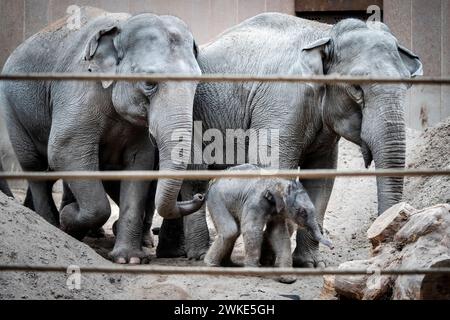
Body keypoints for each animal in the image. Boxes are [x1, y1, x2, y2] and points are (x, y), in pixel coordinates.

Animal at [0, 6, 204, 264]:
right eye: (149, 83)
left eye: (197, 84)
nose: (199, 197)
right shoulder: (78, 90)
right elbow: (65, 150)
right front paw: (68, 219)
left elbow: (139, 164)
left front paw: (129, 259)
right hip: (13, 110)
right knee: (34, 166)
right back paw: (51, 224)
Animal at [157, 13, 422, 264]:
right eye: (357, 88)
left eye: (407, 85)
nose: (378, 247)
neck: (326, 33)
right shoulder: (281, 102)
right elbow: (273, 165)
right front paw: (270, 260)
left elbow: (321, 177)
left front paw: (309, 264)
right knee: (195, 175)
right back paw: (197, 255)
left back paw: (173, 253)